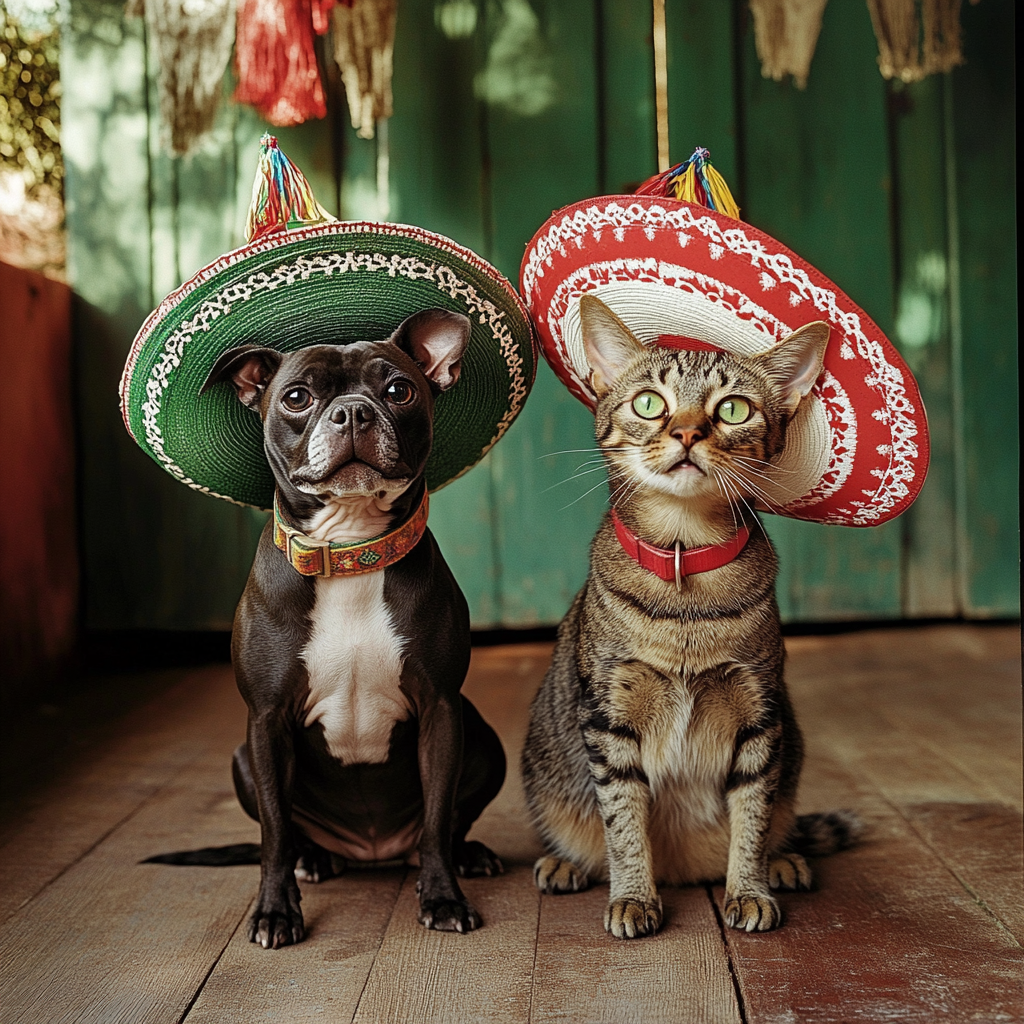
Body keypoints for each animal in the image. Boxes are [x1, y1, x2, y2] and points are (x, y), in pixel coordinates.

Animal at [152, 307, 507, 946]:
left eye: (399, 390)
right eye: (297, 396)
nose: (352, 411)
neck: (348, 550)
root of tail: (372, 851)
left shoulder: (441, 710)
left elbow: (438, 818)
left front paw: (443, 896)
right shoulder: (266, 721)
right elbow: (273, 833)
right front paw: (275, 912)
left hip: (485, 740)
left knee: (446, 826)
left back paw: (467, 855)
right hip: (242, 758)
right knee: (292, 834)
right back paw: (314, 859)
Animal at [516, 294, 860, 937]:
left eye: (733, 408)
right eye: (650, 402)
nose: (687, 431)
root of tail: (684, 868)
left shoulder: (760, 717)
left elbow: (752, 817)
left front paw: (749, 888)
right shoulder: (609, 718)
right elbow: (623, 822)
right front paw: (633, 896)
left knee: (778, 824)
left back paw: (785, 861)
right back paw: (565, 864)